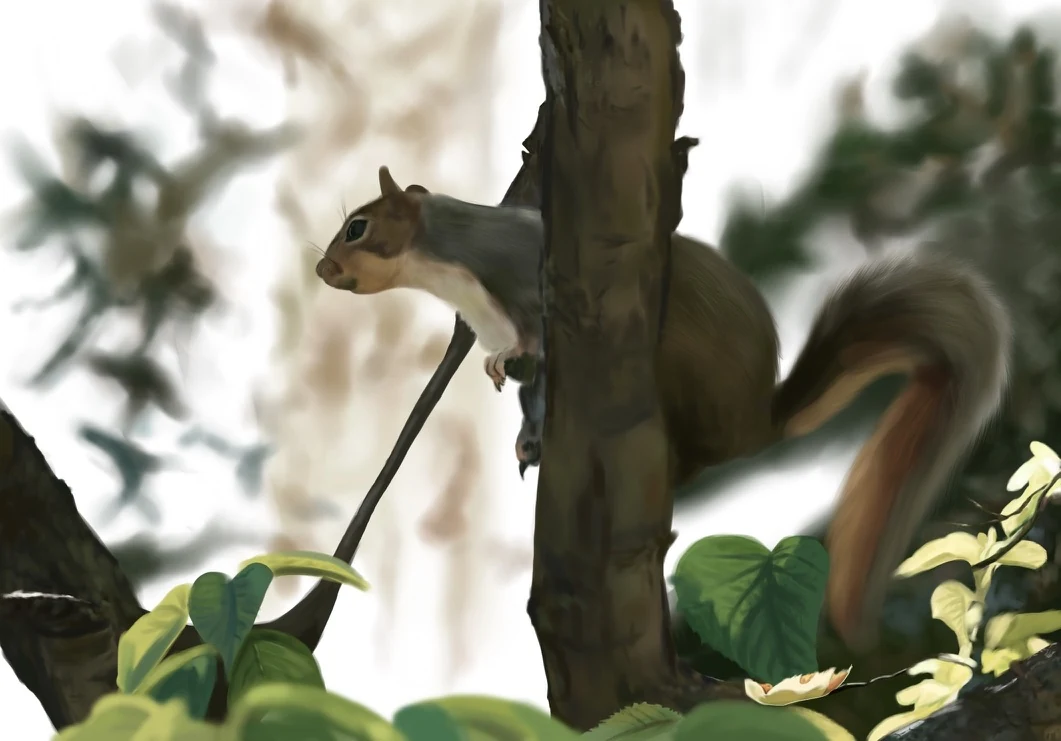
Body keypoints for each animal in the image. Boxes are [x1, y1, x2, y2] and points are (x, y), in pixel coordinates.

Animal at [315, 165, 1011, 648]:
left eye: (358, 226)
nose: (322, 270)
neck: (447, 262)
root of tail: (757, 424)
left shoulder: (523, 286)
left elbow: (534, 352)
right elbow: (523, 390)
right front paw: (523, 434)